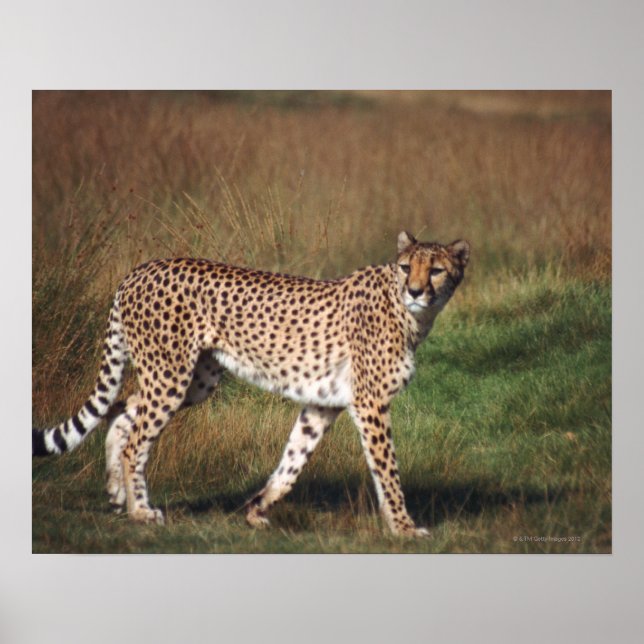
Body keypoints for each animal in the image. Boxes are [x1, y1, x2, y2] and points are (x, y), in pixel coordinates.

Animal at [33, 231, 470, 536]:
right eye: (406, 267)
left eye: (436, 270)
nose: (416, 290)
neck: (410, 313)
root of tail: (140, 269)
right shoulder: (371, 403)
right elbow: (388, 471)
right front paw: (404, 527)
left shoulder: (323, 403)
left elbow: (293, 461)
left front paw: (257, 509)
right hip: (171, 375)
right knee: (136, 437)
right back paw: (140, 509)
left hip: (195, 380)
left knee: (123, 410)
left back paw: (116, 492)